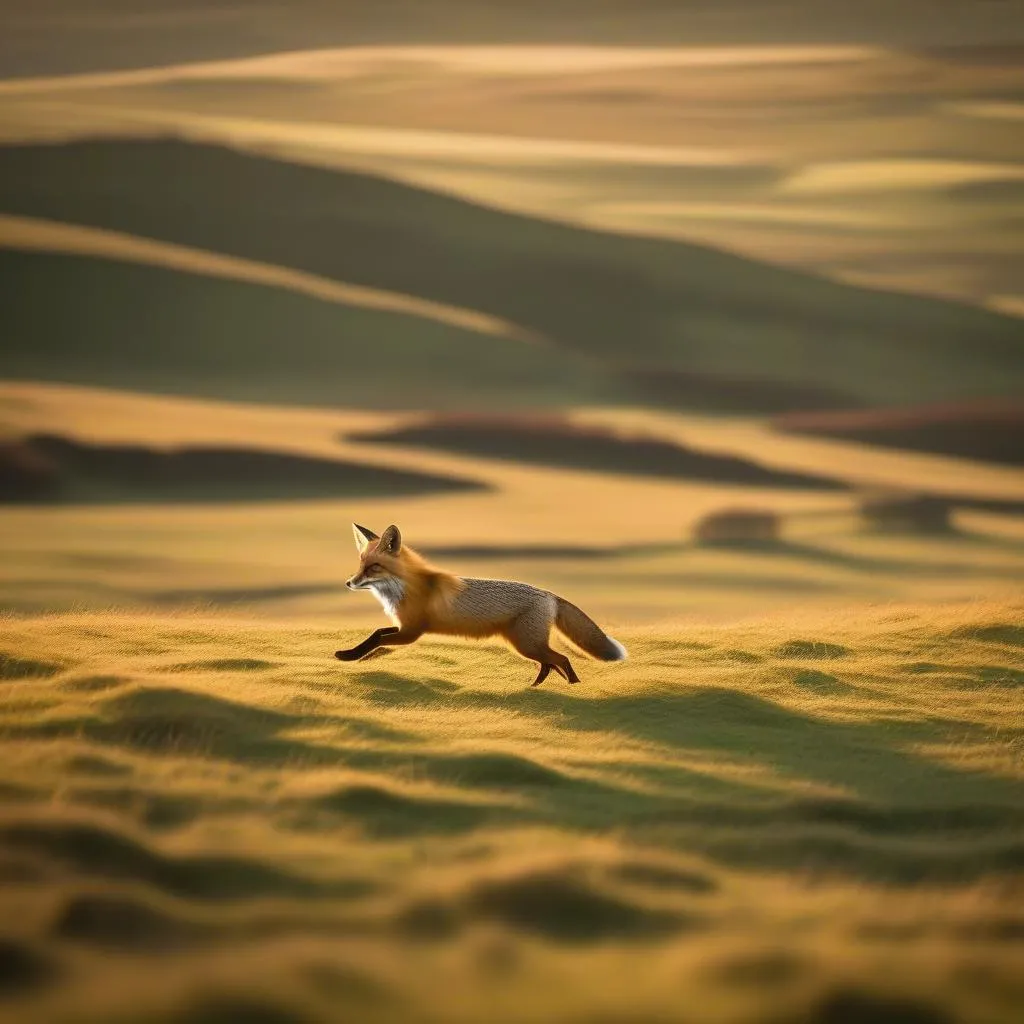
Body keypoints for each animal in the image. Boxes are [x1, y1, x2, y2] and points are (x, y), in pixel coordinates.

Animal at [337, 524, 622, 684]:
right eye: (360, 564)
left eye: (373, 567)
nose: (349, 583)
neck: (403, 588)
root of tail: (548, 593)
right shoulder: (403, 627)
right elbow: (376, 634)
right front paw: (352, 655)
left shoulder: (411, 633)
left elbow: (377, 640)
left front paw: (352, 656)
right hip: (527, 645)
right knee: (549, 663)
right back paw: (537, 687)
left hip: (527, 644)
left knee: (560, 659)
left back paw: (574, 686)